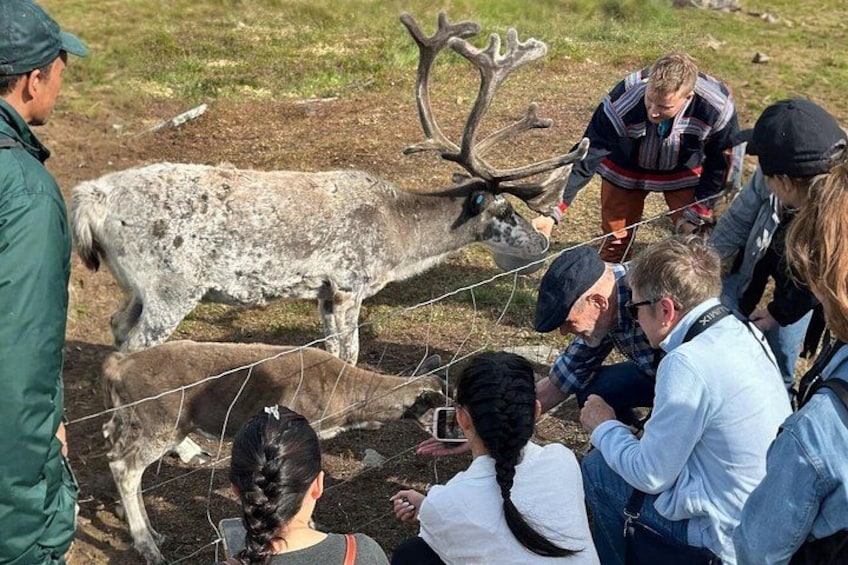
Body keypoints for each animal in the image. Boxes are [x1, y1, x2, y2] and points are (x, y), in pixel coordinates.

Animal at [70, 11, 589, 365]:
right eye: (504, 210)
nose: (542, 242)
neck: (400, 239)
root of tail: (91, 198)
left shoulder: (321, 293)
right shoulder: (347, 283)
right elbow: (349, 355)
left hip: (136, 287)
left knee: (116, 329)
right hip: (171, 287)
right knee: (133, 349)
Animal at [101, 339, 447, 564]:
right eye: (441, 410)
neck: (344, 403)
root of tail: (118, 366)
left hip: (132, 421)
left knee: (114, 450)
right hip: (159, 424)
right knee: (125, 468)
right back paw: (149, 547)